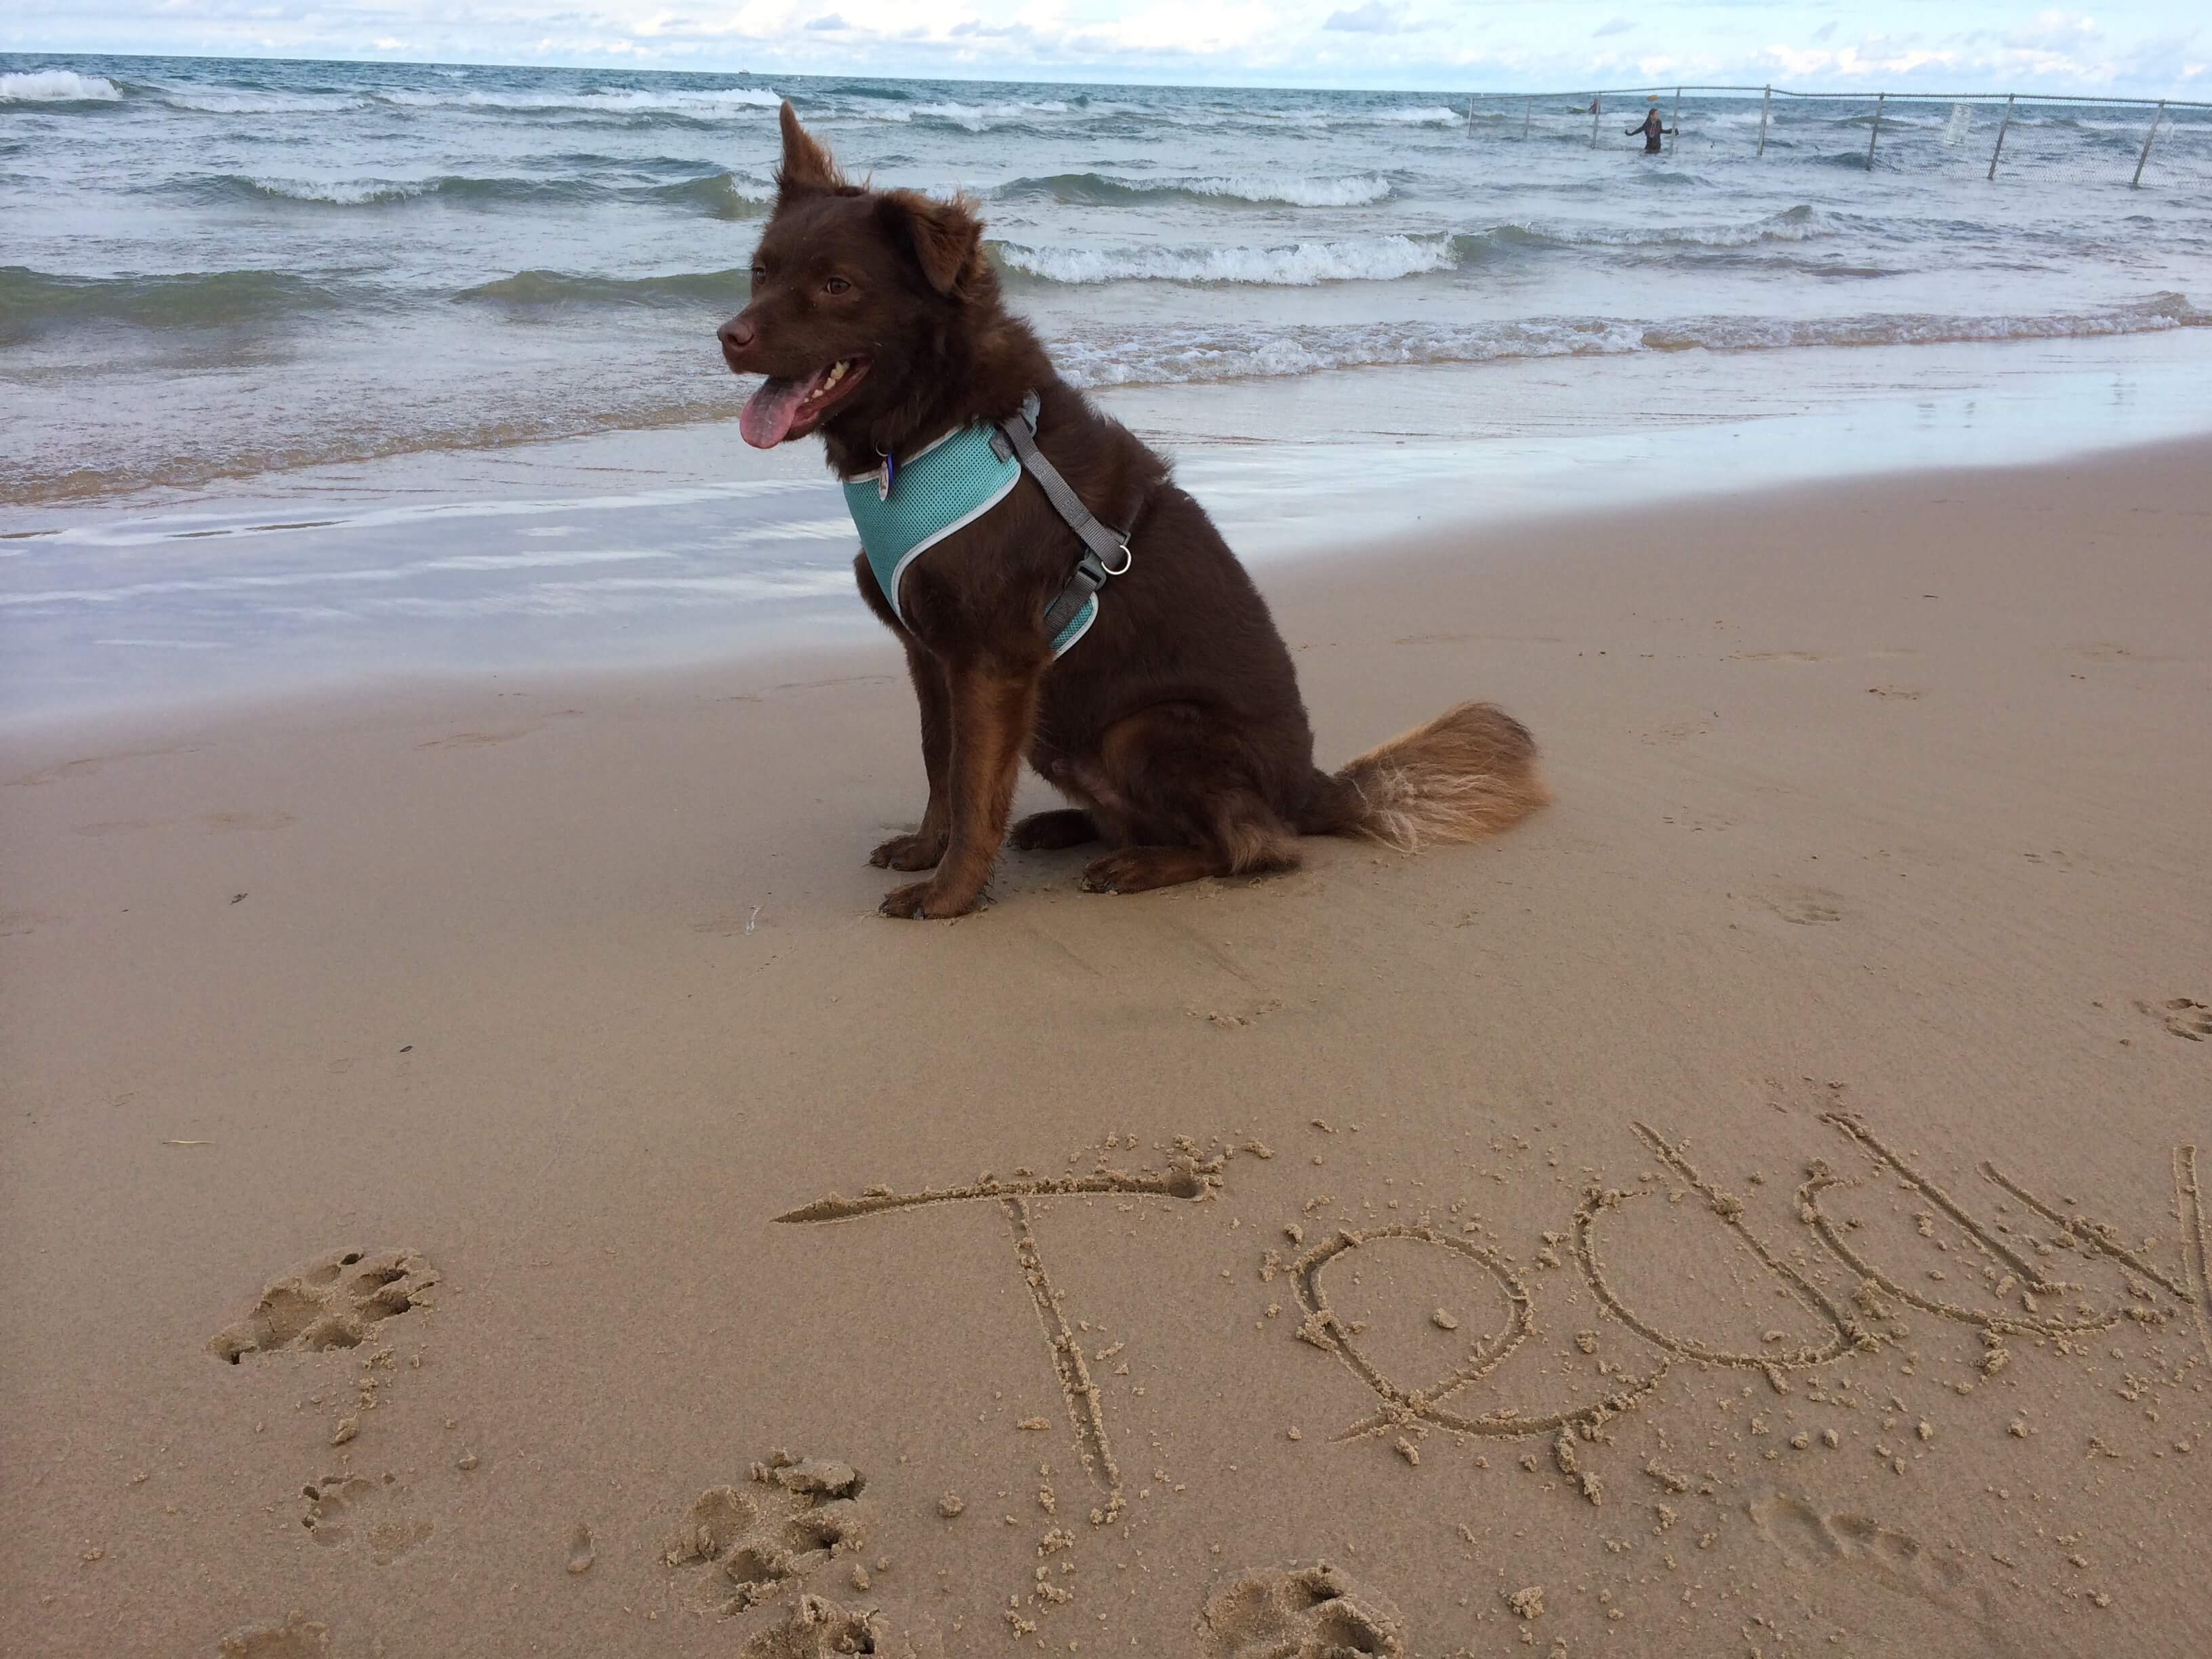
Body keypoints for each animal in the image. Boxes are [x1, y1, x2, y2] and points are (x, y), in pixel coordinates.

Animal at [716, 105, 1548, 924]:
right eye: (760, 272)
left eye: (836, 284)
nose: (728, 336)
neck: (932, 426)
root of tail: (1311, 790)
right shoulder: (934, 659)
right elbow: (938, 763)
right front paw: (928, 852)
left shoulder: (992, 661)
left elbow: (972, 786)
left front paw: (949, 896)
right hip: (1060, 732)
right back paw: (1067, 826)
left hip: (1143, 728)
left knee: (1258, 845)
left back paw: (1144, 864)